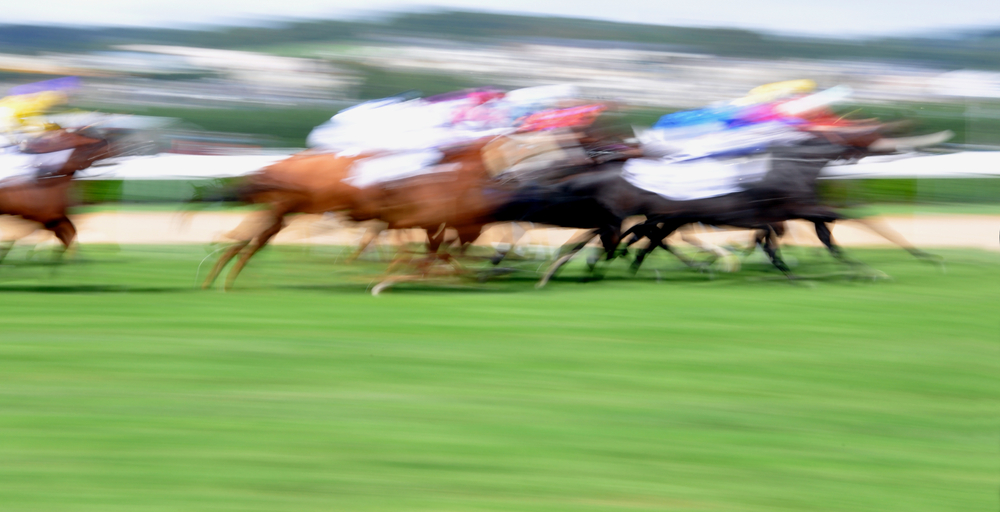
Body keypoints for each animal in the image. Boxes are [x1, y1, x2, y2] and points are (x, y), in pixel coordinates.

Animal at [0, 130, 113, 262]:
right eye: (71, 137)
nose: (105, 141)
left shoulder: (54, 219)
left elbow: (69, 234)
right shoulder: (45, 219)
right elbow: (67, 234)